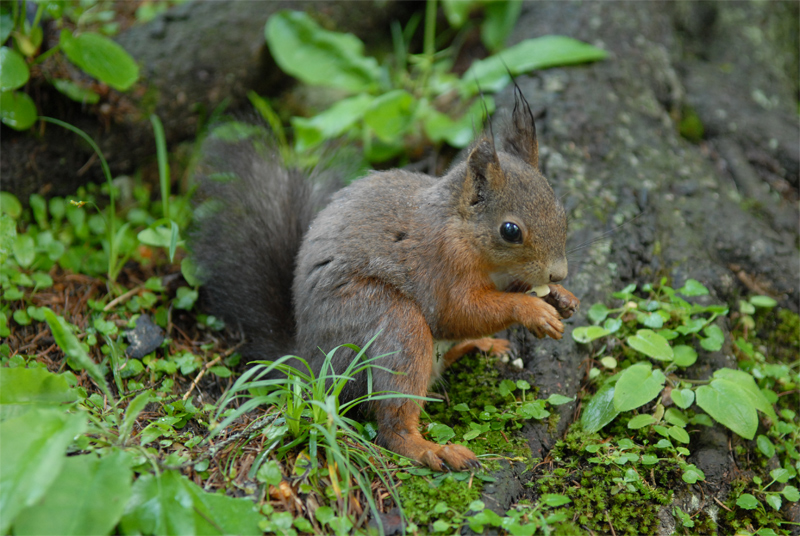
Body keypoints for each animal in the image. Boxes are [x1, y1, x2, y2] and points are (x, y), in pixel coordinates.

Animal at [194, 86, 580, 472]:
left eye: (562, 212)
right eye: (510, 231)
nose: (558, 271)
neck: (461, 230)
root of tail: (311, 365)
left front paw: (561, 296)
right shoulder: (441, 266)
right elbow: (457, 313)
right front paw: (533, 310)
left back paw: (482, 346)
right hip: (389, 321)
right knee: (393, 425)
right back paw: (432, 449)